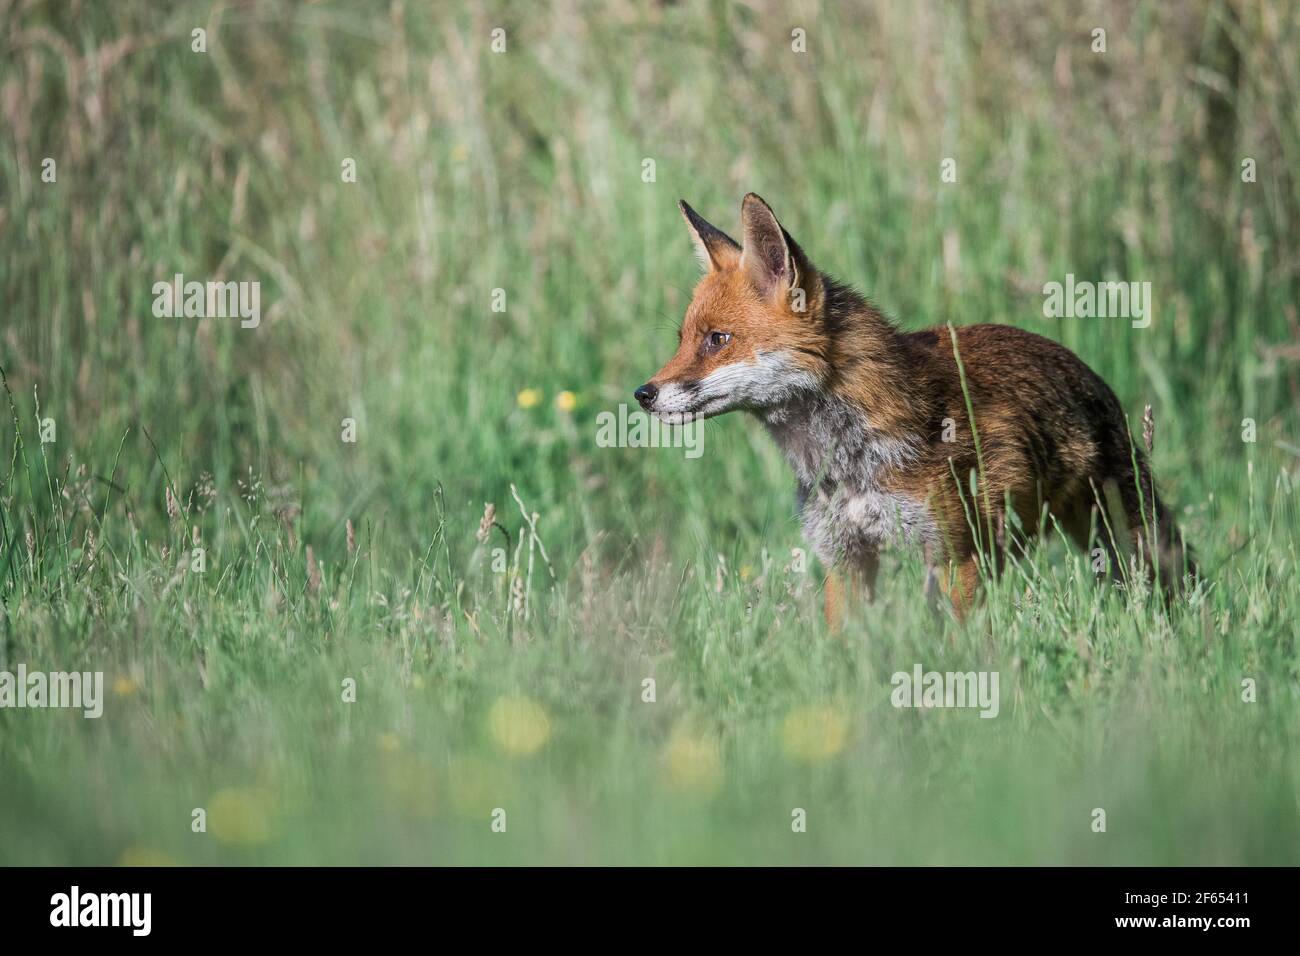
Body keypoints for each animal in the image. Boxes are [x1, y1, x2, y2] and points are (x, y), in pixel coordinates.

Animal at [634, 195, 1190, 629]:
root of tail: (1081, 367)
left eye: (717, 340)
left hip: (1122, 536)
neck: (848, 464)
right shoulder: (845, 560)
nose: (643, 394)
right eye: (683, 340)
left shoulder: (959, 557)